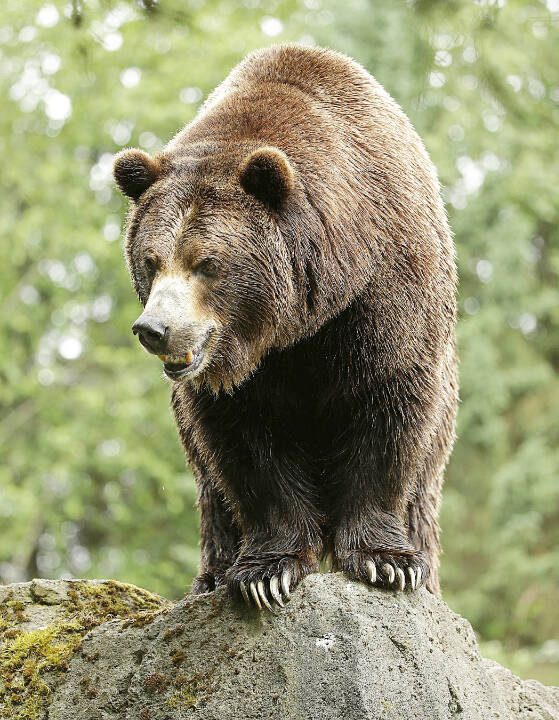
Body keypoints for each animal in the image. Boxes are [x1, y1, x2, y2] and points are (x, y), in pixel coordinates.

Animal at [113, 45, 458, 610]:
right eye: (150, 260)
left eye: (206, 262)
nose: (155, 329)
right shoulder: (239, 377)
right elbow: (247, 447)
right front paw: (265, 572)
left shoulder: (384, 294)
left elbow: (388, 410)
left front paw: (386, 561)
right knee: (212, 491)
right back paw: (212, 574)